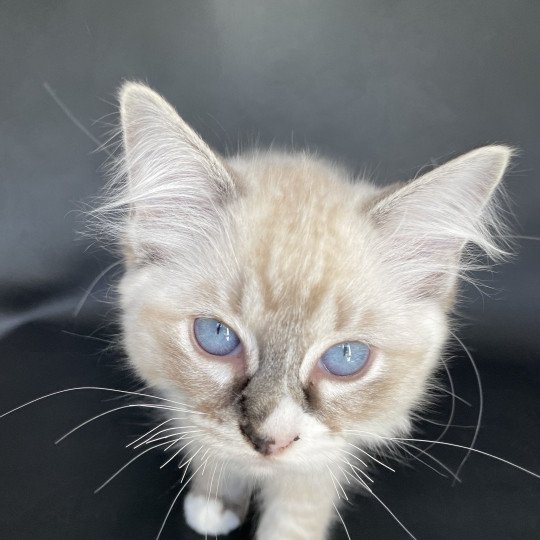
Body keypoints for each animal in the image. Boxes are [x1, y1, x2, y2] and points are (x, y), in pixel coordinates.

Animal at [101, 82, 510, 536]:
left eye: (346, 358)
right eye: (216, 336)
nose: (269, 441)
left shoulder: (328, 452)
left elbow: (295, 515)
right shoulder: (184, 402)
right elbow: (207, 442)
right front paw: (215, 502)